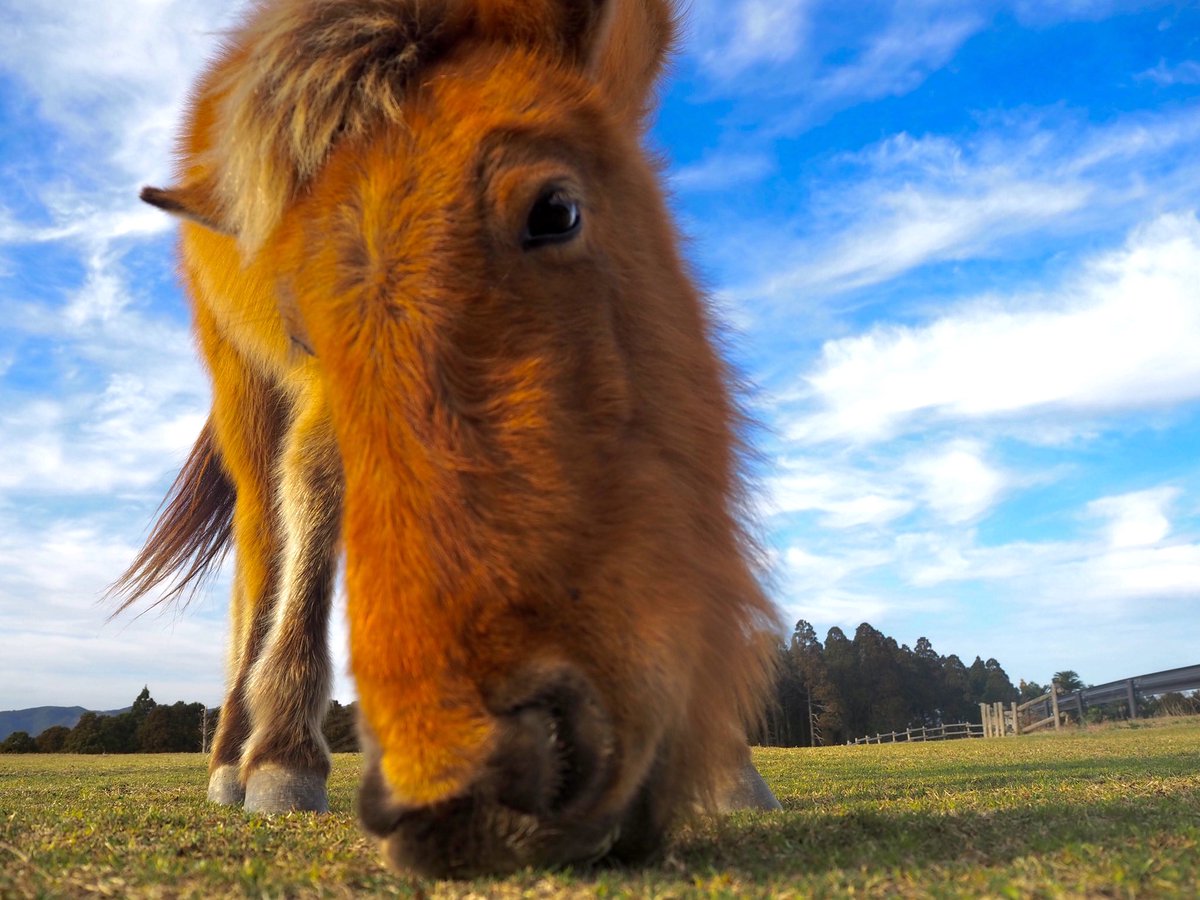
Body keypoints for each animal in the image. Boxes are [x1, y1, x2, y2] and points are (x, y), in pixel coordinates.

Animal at [115, 0, 781, 878]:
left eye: (557, 211)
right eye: (305, 329)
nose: (483, 785)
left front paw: (731, 761)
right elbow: (318, 492)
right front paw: (283, 759)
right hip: (241, 386)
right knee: (264, 544)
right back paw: (236, 755)